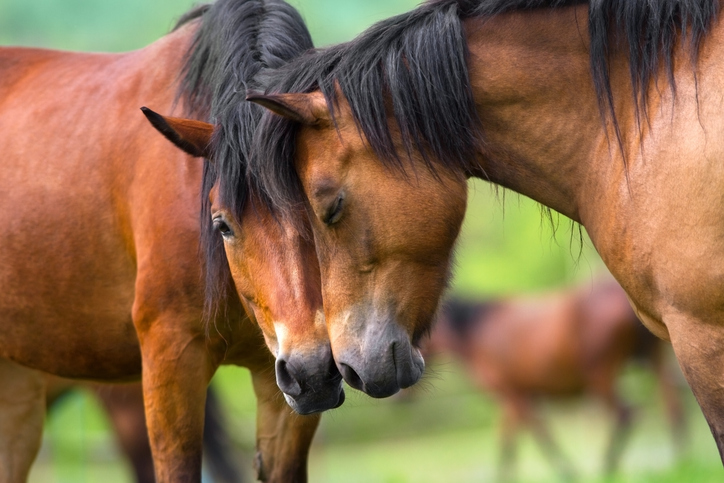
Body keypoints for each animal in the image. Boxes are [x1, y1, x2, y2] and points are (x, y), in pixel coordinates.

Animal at [424, 279, 686, 480]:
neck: (478, 331)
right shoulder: (518, 395)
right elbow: (510, 439)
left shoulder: (511, 393)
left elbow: (537, 434)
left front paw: (568, 471)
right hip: (653, 361)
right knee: (672, 407)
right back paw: (680, 459)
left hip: (601, 376)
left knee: (626, 415)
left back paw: (607, 467)